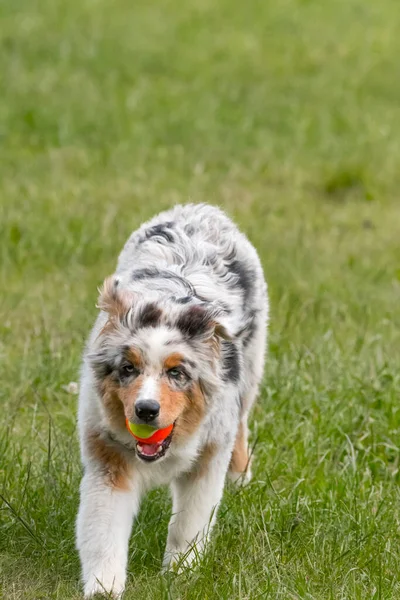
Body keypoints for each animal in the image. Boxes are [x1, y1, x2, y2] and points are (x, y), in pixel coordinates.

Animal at [75, 204, 268, 596]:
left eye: (177, 373)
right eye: (128, 368)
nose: (146, 410)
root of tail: (201, 208)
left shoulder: (208, 456)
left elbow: (190, 523)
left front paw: (181, 573)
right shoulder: (107, 458)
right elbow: (103, 528)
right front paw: (104, 587)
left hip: (253, 365)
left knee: (243, 419)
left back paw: (241, 476)